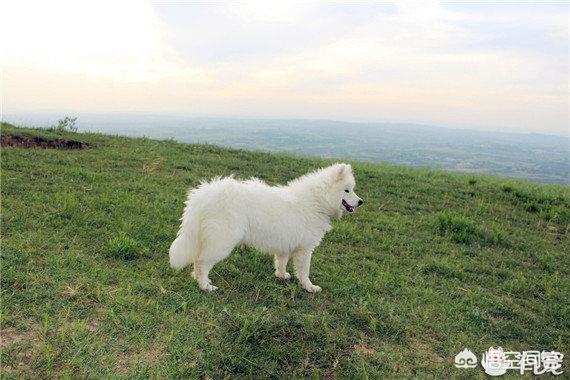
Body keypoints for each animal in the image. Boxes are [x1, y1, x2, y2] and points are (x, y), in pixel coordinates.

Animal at [170, 163, 364, 290]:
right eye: (347, 190)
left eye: (352, 189)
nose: (361, 202)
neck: (317, 201)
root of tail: (204, 194)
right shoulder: (305, 249)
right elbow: (304, 271)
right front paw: (309, 287)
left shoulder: (286, 244)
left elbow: (281, 262)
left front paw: (281, 276)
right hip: (222, 241)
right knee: (202, 262)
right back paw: (205, 286)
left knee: (198, 262)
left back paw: (198, 280)